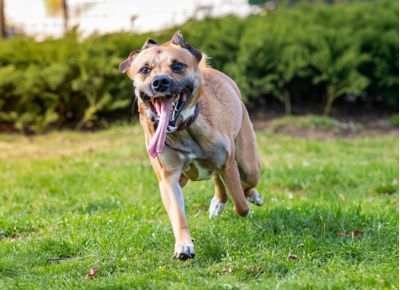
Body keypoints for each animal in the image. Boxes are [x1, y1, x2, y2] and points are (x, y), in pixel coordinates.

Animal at [119, 31, 262, 260]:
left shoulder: (228, 162)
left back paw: (247, 196)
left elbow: (240, 204)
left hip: (248, 162)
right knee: (217, 178)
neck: (182, 129)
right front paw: (183, 246)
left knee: (245, 181)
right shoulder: (168, 177)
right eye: (145, 70)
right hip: (187, 177)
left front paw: (245, 203)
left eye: (177, 66)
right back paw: (219, 201)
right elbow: (178, 215)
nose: (159, 82)